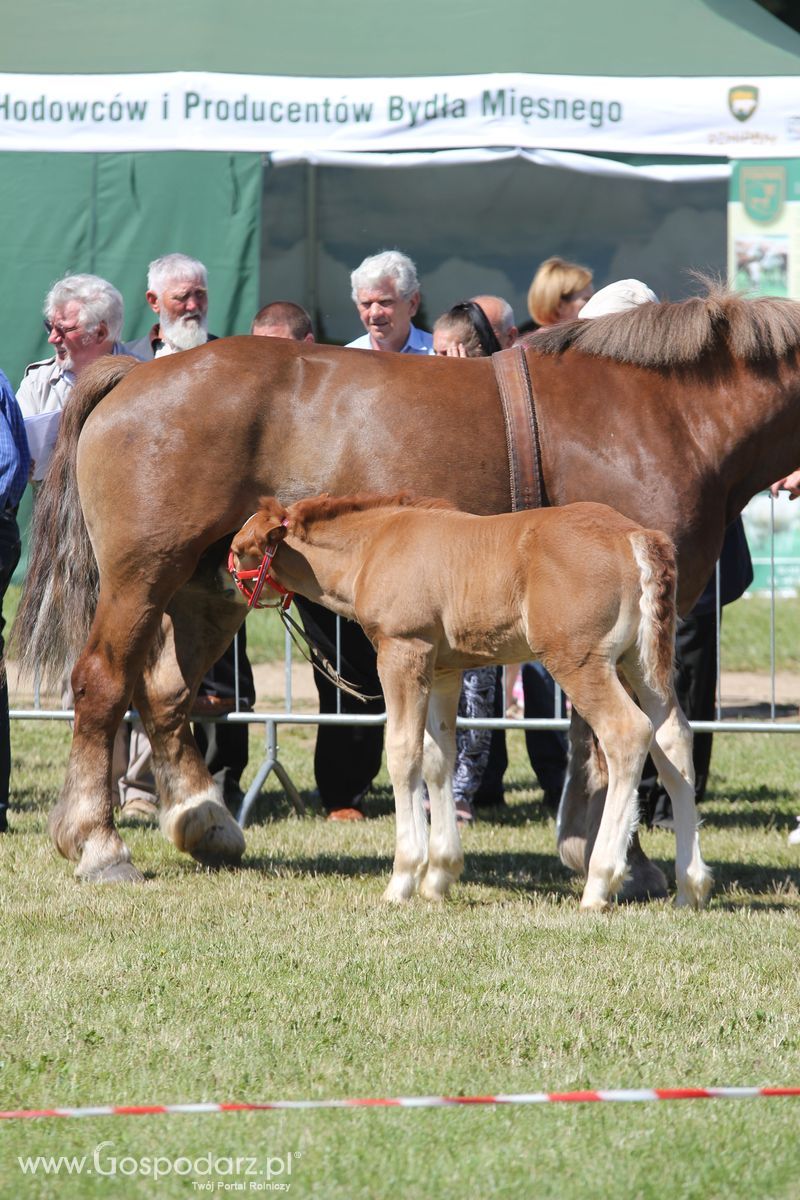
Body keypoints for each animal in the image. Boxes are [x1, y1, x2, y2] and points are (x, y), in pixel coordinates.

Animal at [231, 492, 714, 912]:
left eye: (239, 548)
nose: (225, 582)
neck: (374, 549)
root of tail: (634, 537)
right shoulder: (444, 670)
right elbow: (438, 757)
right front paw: (439, 876)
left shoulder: (403, 651)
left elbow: (403, 753)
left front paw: (403, 879)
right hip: (641, 662)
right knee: (673, 739)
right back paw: (689, 887)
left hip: (579, 661)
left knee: (627, 734)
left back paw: (599, 883)